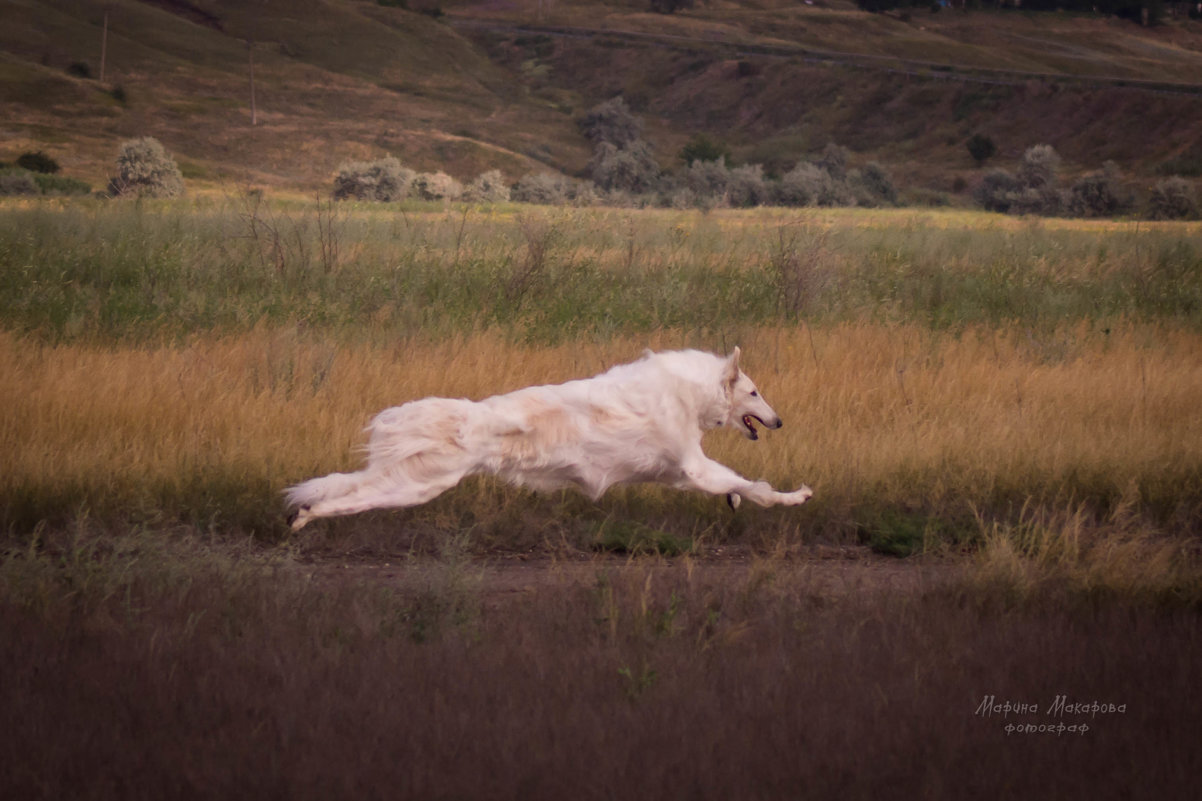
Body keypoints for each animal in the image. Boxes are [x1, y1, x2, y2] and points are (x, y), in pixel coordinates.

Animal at [286, 343, 812, 526]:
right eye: (755, 392)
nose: (781, 422)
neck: (689, 391)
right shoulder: (693, 466)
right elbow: (756, 487)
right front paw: (796, 496)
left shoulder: (681, 473)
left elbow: (739, 486)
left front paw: (737, 501)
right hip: (416, 486)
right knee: (348, 500)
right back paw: (306, 519)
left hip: (402, 479)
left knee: (341, 488)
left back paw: (303, 511)